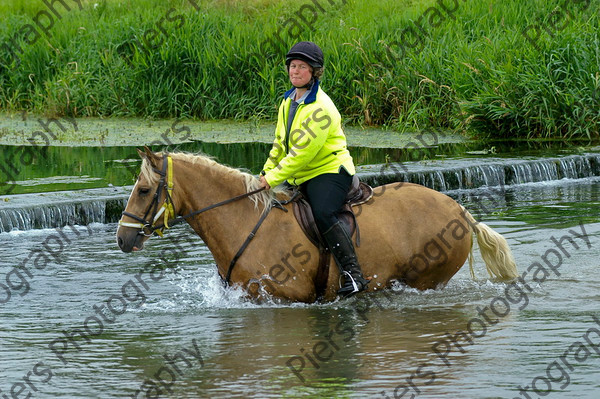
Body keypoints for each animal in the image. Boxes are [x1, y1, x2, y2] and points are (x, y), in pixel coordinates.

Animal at [118, 148, 520, 304]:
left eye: (143, 190)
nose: (123, 238)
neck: (245, 221)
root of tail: (461, 211)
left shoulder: (284, 298)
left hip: (427, 281)